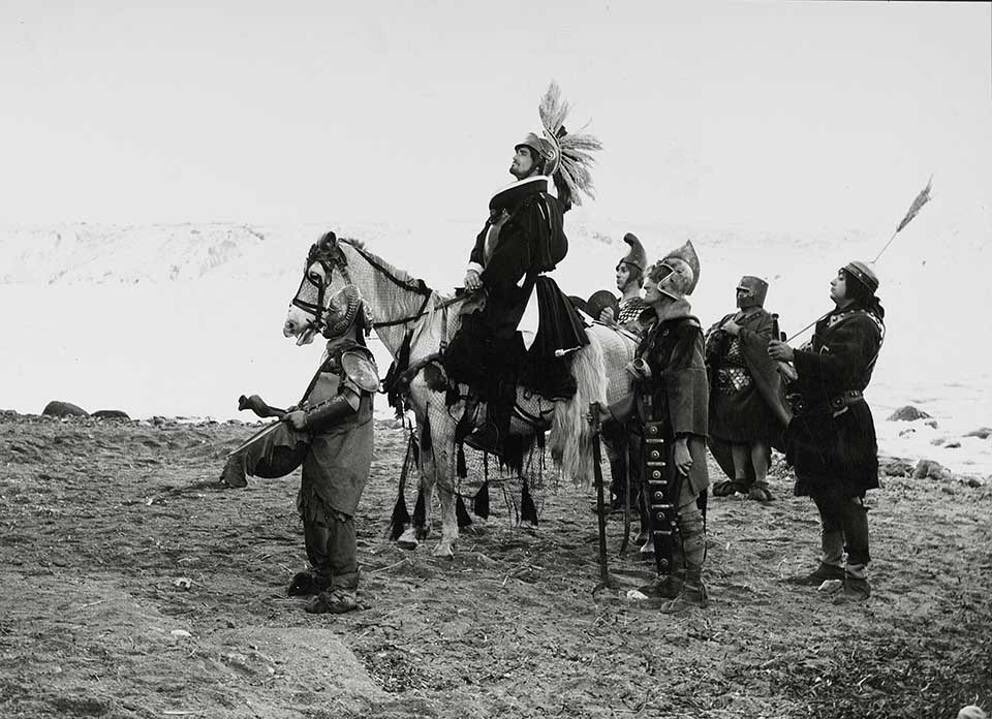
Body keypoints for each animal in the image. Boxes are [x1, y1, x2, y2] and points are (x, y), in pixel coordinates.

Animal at [282, 233, 636, 560]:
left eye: (315, 276)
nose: (290, 324)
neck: (422, 331)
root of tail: (629, 342)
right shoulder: (423, 417)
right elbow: (426, 474)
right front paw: (415, 531)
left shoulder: (442, 420)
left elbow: (445, 479)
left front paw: (447, 540)